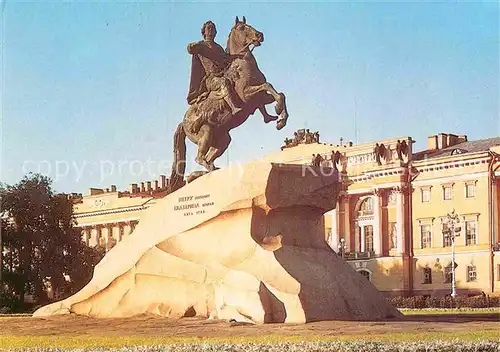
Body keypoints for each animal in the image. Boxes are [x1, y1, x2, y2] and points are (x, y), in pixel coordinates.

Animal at [167, 16, 288, 192]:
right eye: (243, 28)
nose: (260, 35)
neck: (241, 64)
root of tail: (183, 123)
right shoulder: (247, 95)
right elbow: (268, 86)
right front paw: (278, 114)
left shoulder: (259, 99)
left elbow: (279, 94)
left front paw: (280, 119)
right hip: (205, 132)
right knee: (200, 157)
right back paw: (206, 171)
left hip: (223, 140)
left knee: (209, 158)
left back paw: (203, 173)